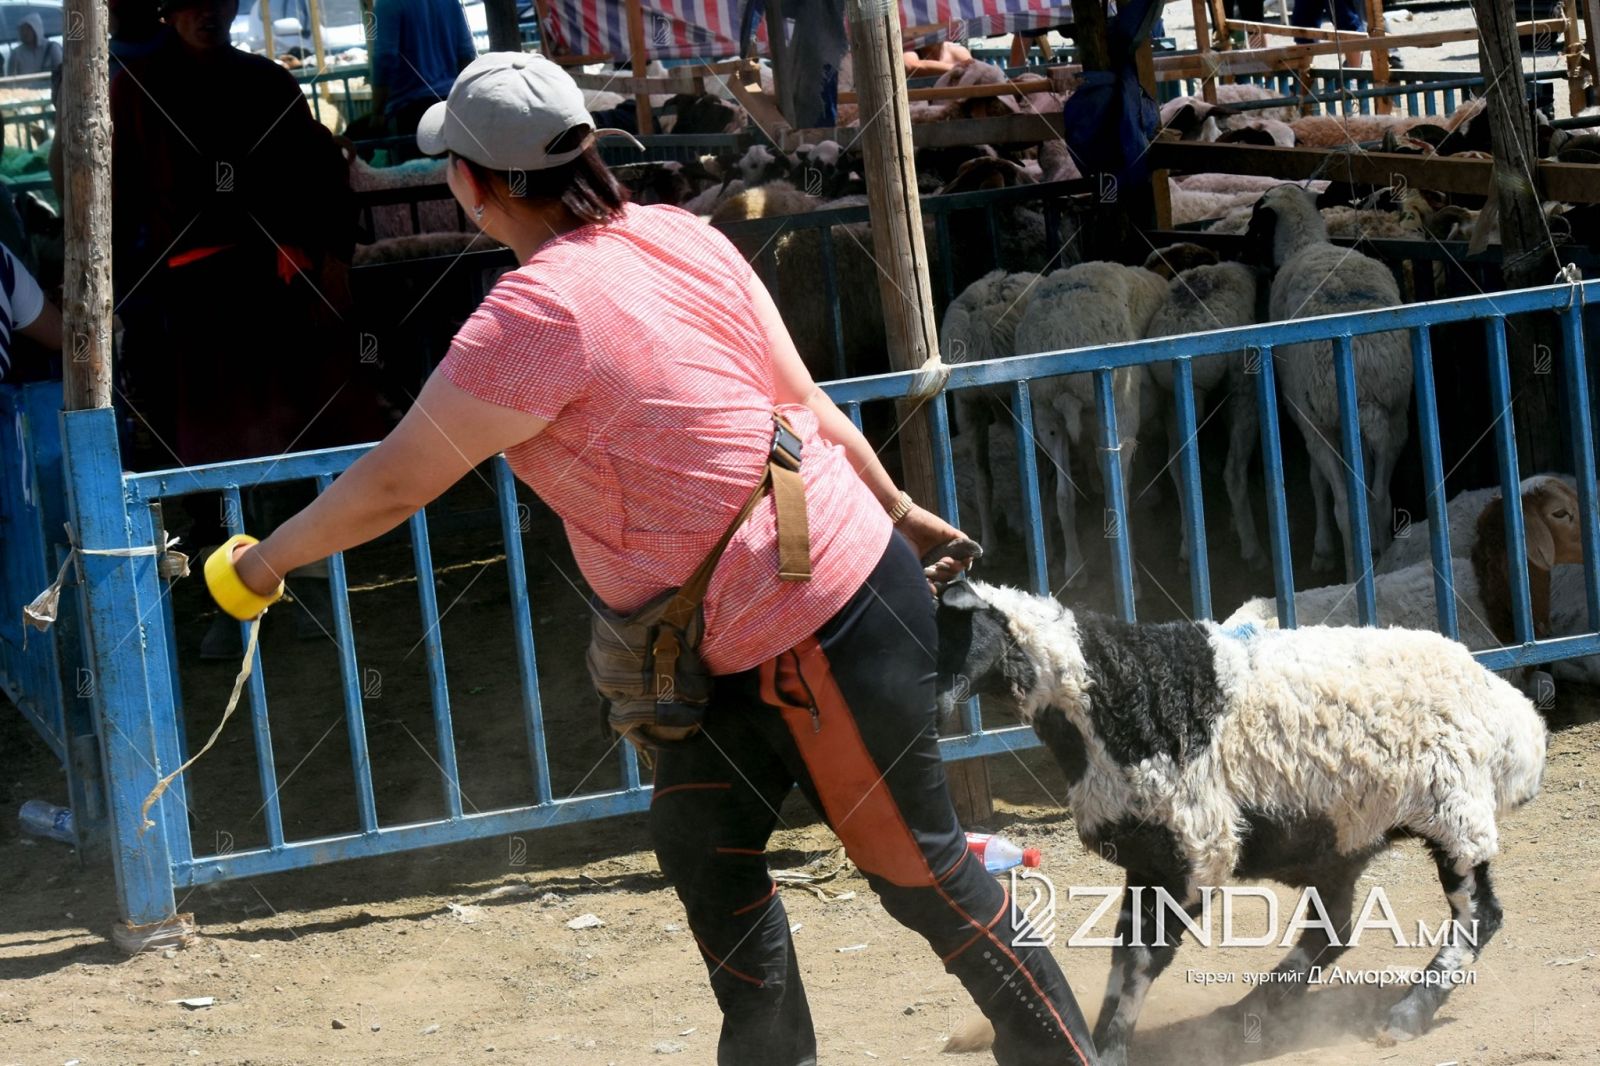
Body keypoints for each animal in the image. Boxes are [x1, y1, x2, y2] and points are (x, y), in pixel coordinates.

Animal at [934, 578, 1546, 1064]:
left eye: (946, 628)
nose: (932, 709)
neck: (1109, 693)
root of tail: (1517, 717)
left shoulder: (1195, 846)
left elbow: (1140, 958)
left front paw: (1108, 1048)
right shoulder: (1147, 856)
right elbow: (1127, 953)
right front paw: (1099, 1039)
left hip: (1457, 813)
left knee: (1478, 916)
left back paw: (1407, 1014)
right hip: (1345, 834)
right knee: (1334, 927)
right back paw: (1253, 1008)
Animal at [1140, 248, 1265, 570]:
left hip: (1174, 399)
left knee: (1178, 466)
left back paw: (1188, 545)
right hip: (1241, 389)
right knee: (1233, 470)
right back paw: (1252, 546)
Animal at [1247, 184, 1413, 580]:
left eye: (1254, 224)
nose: (1242, 254)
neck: (1304, 244)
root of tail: (1362, 360)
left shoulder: (1305, 416)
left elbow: (1316, 479)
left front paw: (1322, 551)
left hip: (1323, 420)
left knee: (1344, 505)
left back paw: (1354, 573)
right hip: (1395, 416)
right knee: (1379, 498)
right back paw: (1383, 561)